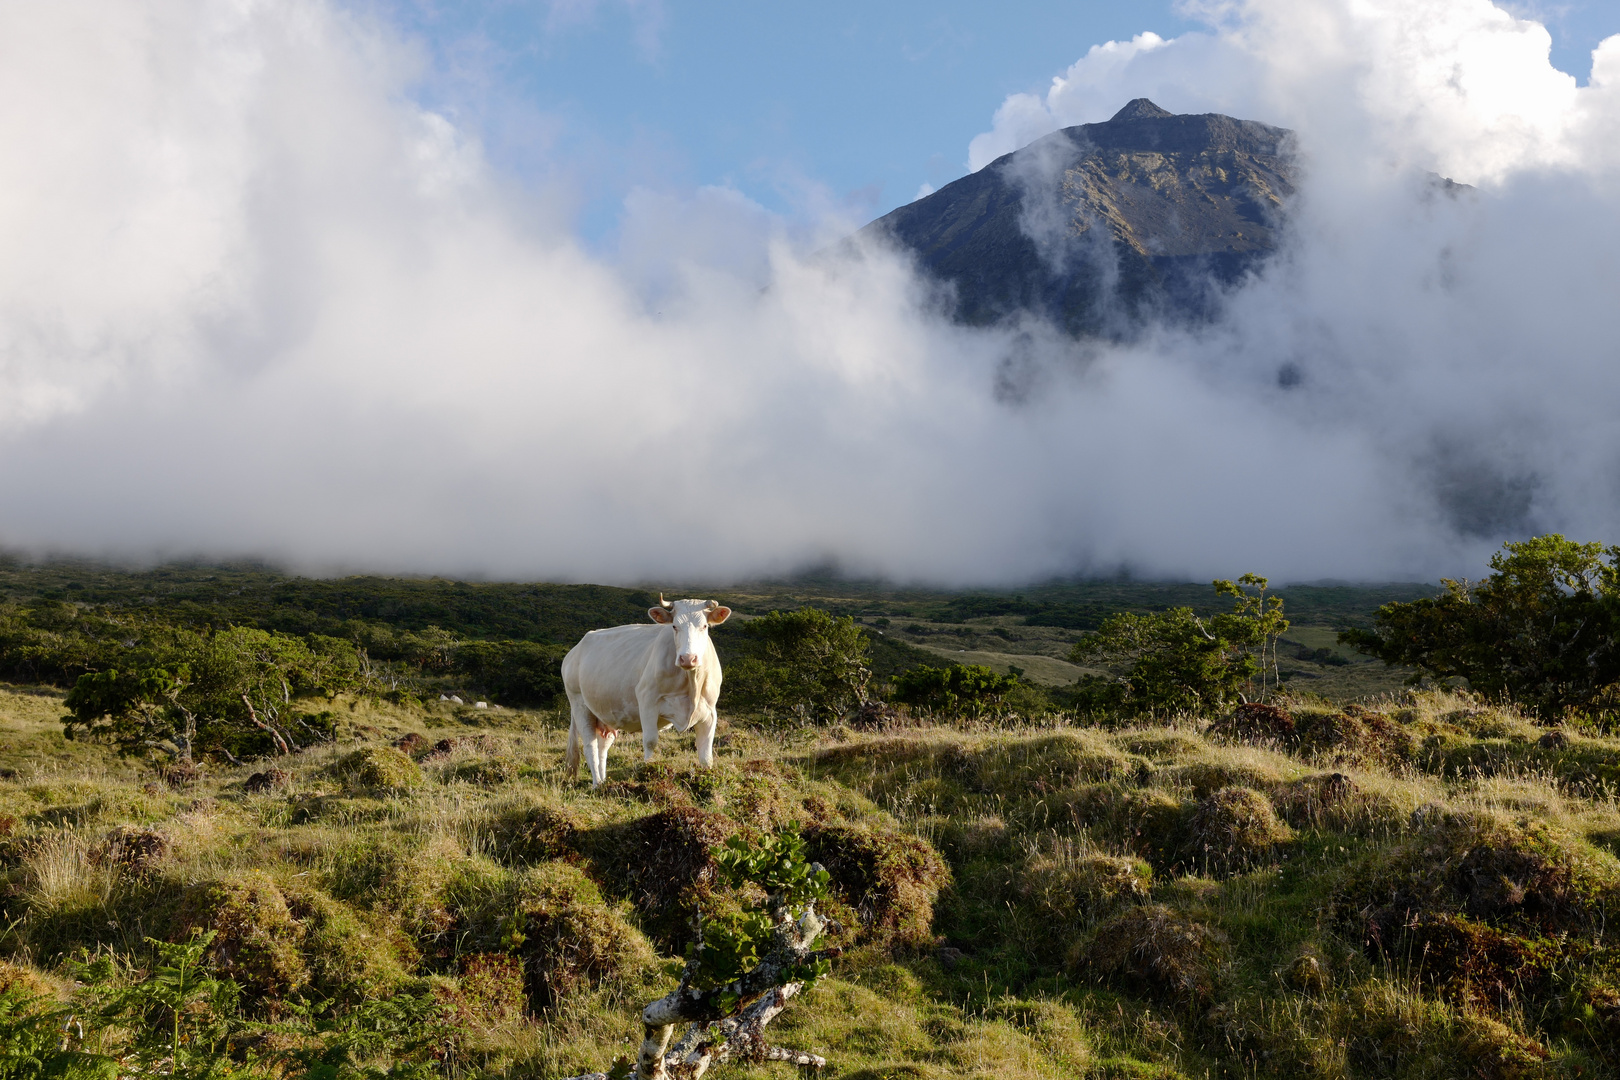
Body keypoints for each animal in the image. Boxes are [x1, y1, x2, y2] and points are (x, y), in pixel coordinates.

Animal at [560, 599, 732, 786]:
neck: (691, 683)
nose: (688, 658)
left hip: (605, 714)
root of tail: (574, 652)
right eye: (674, 626)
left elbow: (706, 754)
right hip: (579, 704)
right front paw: (650, 773)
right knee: (589, 747)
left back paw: (604, 782)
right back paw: (597, 784)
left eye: (704, 626)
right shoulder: (648, 703)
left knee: (602, 748)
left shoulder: (709, 712)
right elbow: (650, 742)